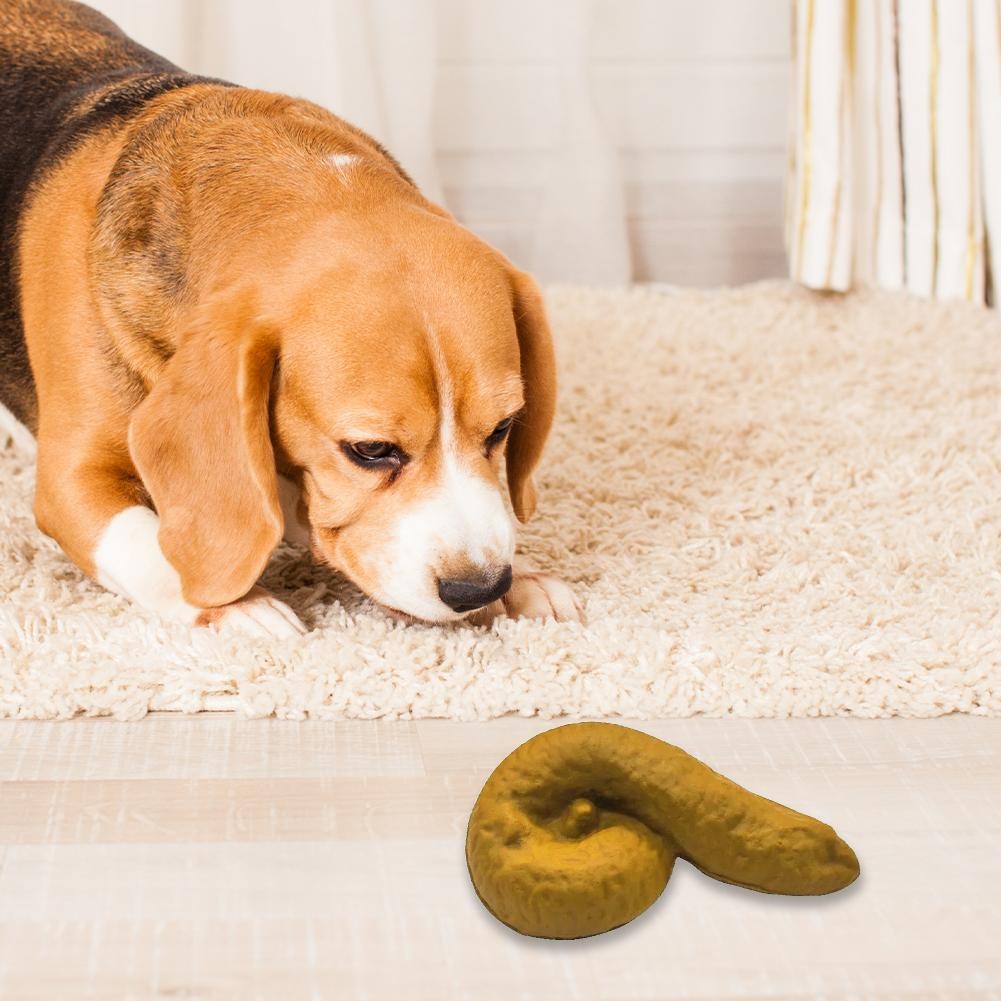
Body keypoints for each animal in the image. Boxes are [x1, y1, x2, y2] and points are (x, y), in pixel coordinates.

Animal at [0, 0, 583, 637]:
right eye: (370, 450)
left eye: (503, 429)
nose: (478, 586)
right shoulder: (73, 479)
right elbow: (152, 548)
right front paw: (237, 609)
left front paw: (524, 581)